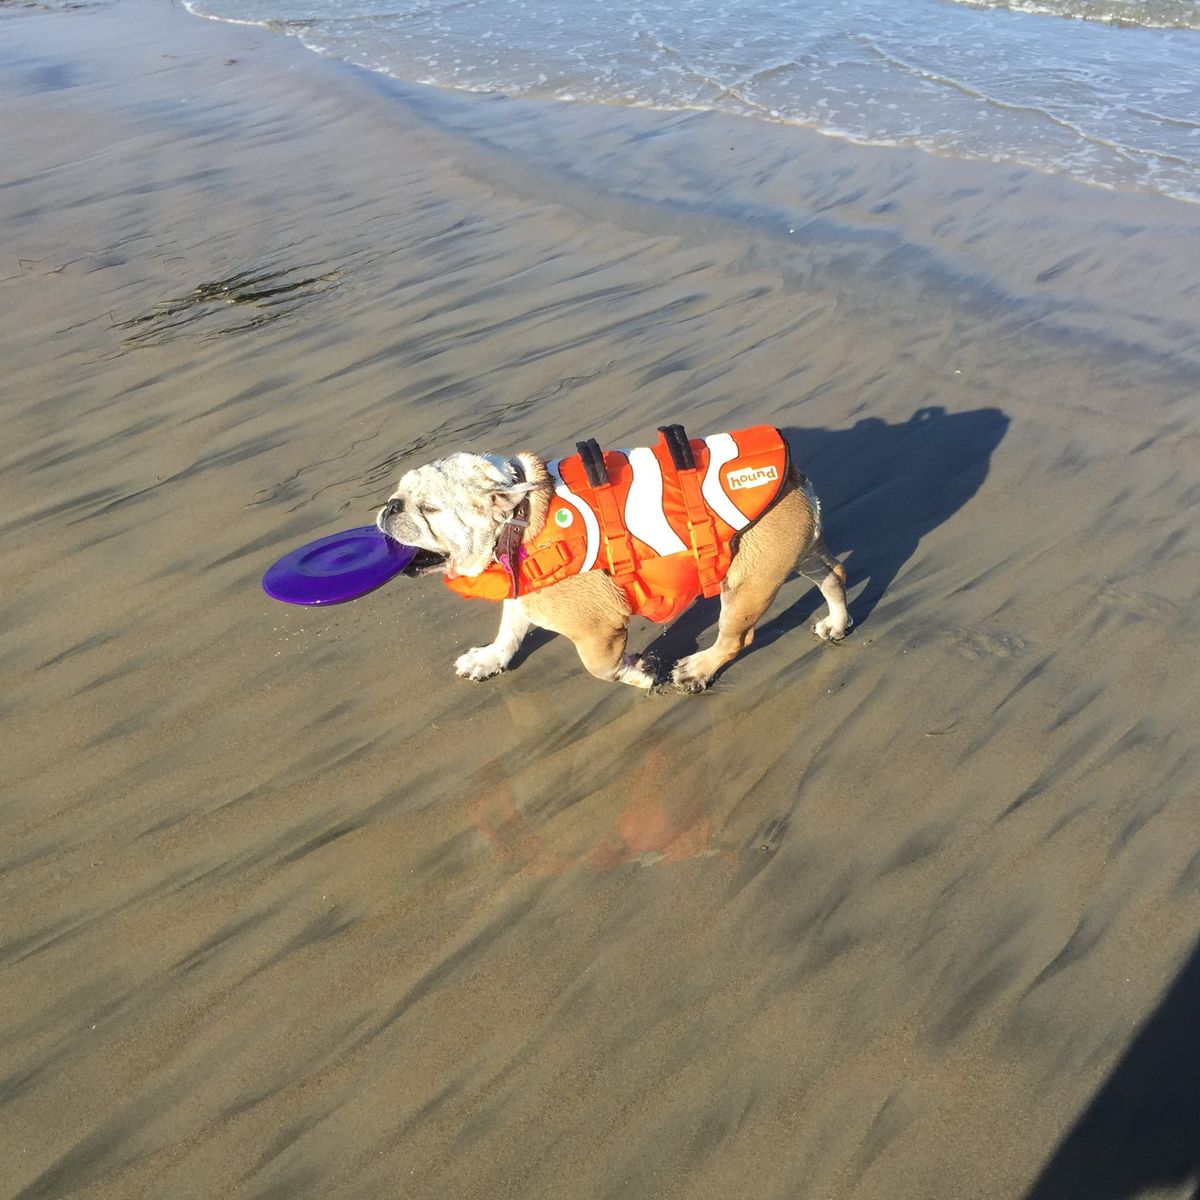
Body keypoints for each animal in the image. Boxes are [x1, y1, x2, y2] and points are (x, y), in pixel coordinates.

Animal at [376, 422, 854, 691]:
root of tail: (790, 469)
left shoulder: (598, 629)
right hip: (790, 553)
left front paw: (638, 673)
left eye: (430, 510)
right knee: (833, 573)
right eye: (399, 494)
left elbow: (599, 668)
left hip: (747, 582)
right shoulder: (523, 595)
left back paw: (698, 669)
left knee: (737, 638)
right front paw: (490, 659)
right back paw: (836, 622)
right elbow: (509, 630)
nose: (390, 506)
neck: (519, 517)